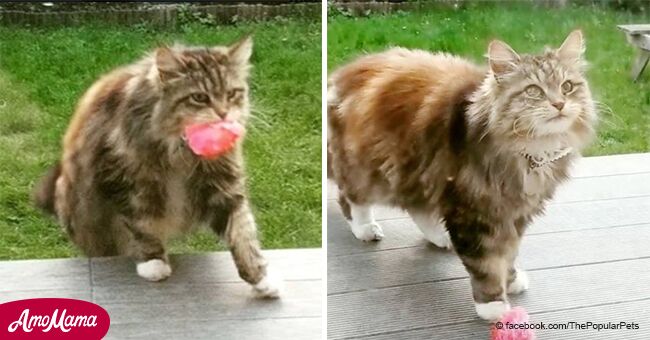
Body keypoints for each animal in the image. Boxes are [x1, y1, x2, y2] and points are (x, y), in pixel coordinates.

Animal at [32, 35, 280, 298]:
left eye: (232, 93)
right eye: (199, 97)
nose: (223, 114)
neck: (181, 151)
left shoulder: (224, 185)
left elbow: (243, 234)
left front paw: (261, 278)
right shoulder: (124, 181)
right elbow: (142, 226)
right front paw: (153, 263)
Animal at [326, 30, 596, 320]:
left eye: (567, 86)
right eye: (533, 90)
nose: (559, 103)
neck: (531, 149)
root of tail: (342, 75)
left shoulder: (515, 213)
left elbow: (509, 253)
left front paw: (511, 280)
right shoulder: (471, 211)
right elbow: (486, 263)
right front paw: (493, 304)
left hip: (417, 171)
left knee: (417, 208)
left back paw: (439, 237)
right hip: (375, 172)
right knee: (350, 197)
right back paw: (365, 228)